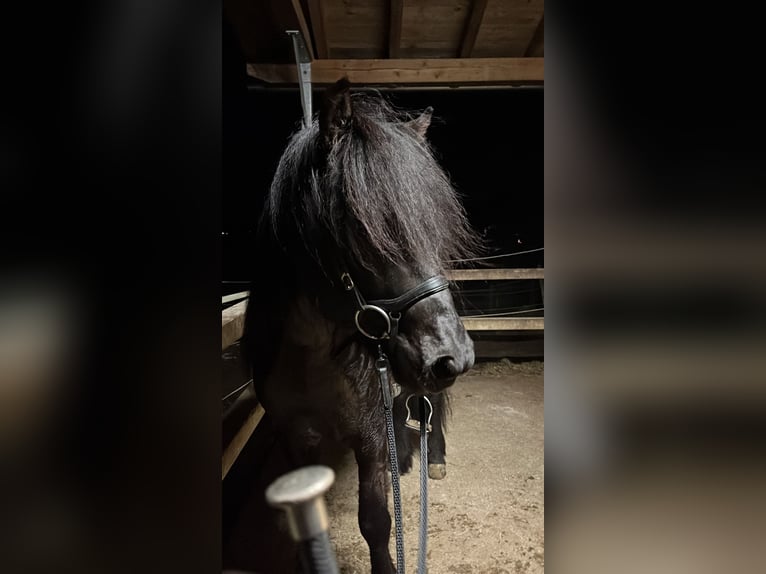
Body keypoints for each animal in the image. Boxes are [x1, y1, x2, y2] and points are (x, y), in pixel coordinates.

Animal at [242, 77, 481, 573]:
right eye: (361, 227)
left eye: (433, 227)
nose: (453, 356)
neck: (313, 360)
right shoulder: (296, 440)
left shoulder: (370, 439)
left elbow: (375, 520)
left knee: (428, 405)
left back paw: (433, 458)